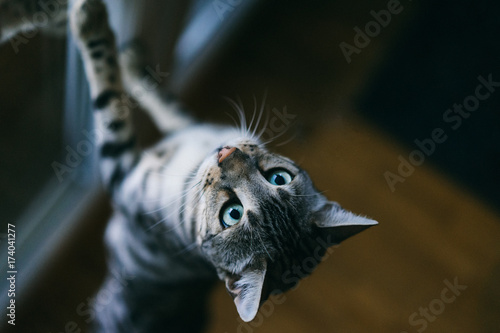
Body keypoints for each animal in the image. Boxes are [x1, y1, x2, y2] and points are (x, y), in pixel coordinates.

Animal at [0, 1, 376, 330]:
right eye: (279, 177)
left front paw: (91, 23)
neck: (192, 163)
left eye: (231, 214)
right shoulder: (188, 128)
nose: (228, 155)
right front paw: (132, 62)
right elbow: (164, 102)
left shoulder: (122, 177)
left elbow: (110, 104)